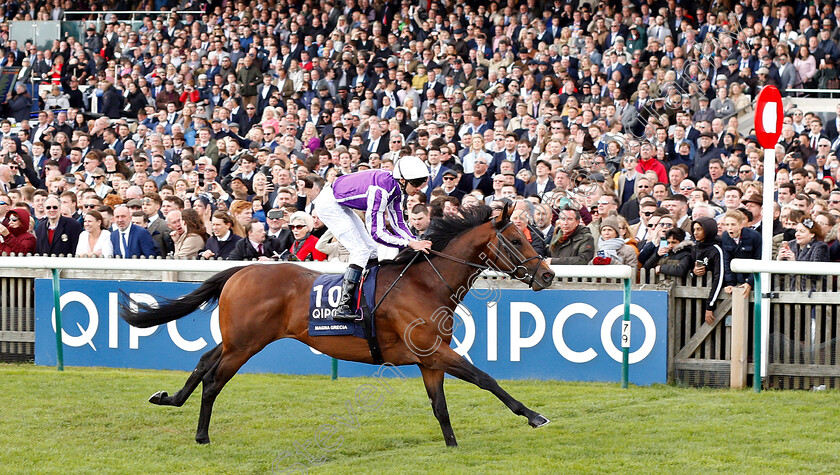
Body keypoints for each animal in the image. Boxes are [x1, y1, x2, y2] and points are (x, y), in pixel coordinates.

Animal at [118, 205, 552, 446]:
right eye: (516, 239)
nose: (547, 275)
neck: (427, 283)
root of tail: (241, 270)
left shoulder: (430, 359)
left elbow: (440, 405)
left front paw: (451, 445)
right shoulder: (436, 352)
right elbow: (485, 378)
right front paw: (534, 415)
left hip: (237, 339)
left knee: (204, 360)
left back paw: (169, 398)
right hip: (245, 344)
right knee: (212, 380)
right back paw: (202, 434)